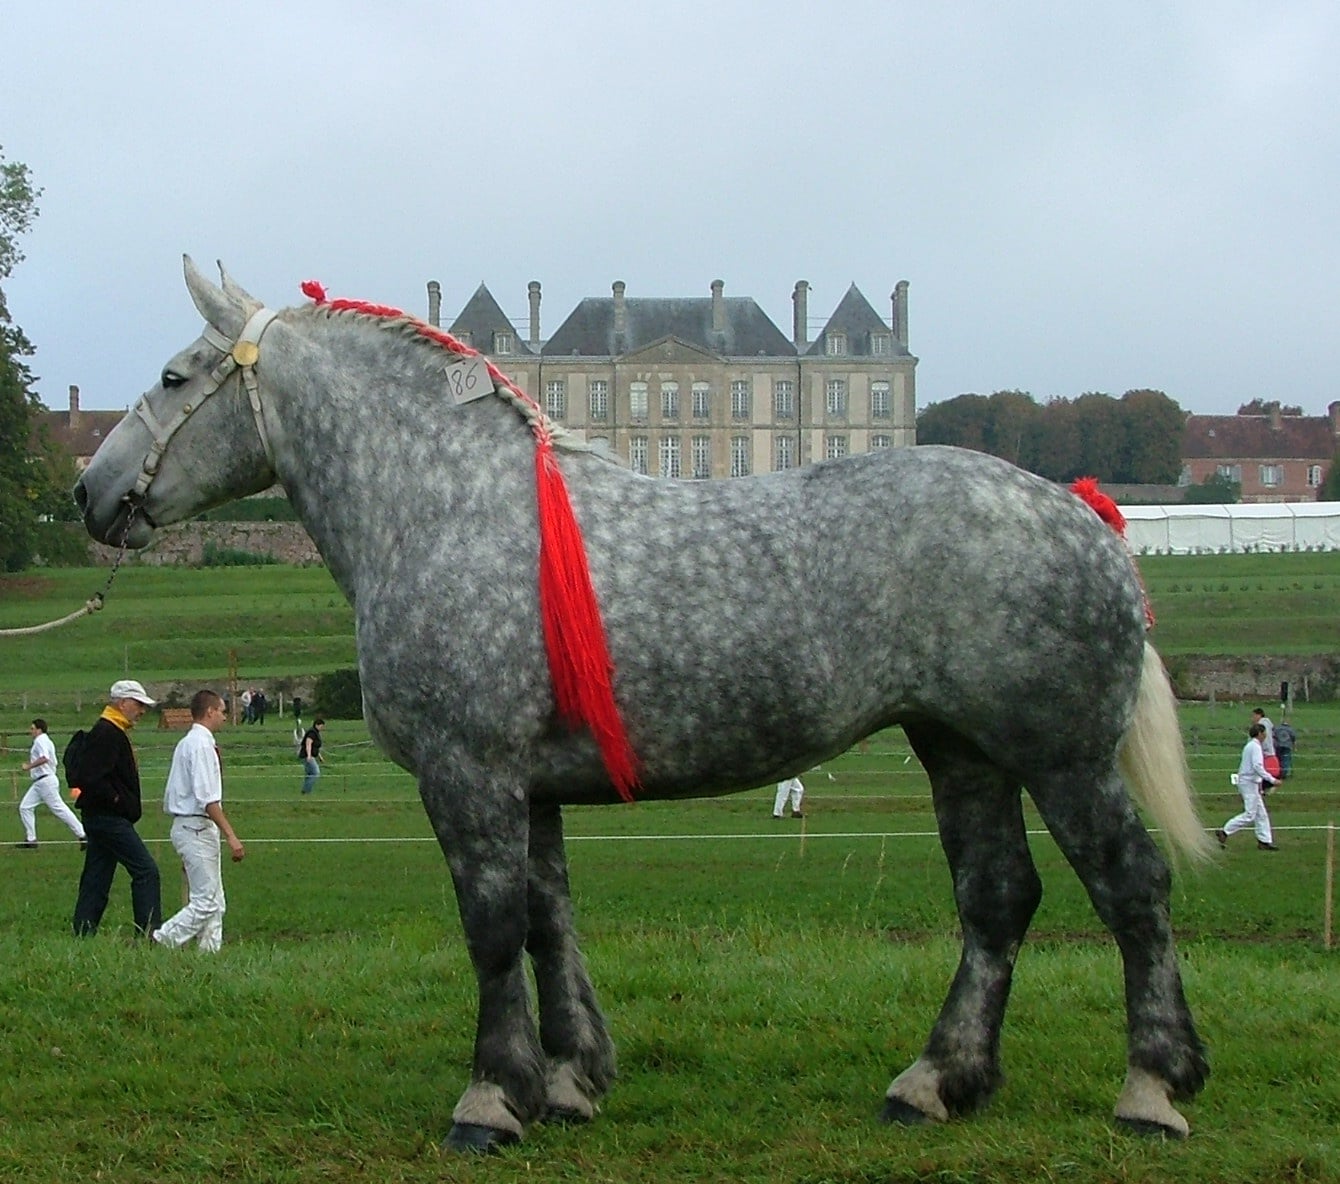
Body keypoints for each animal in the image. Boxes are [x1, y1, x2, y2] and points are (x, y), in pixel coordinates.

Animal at [73, 258, 1216, 1146]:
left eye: (174, 374)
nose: (89, 490)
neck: (449, 507)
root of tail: (1079, 510)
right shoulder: (530, 788)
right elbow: (549, 923)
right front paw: (569, 1081)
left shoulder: (468, 774)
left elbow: (491, 927)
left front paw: (491, 1098)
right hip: (961, 751)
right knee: (996, 899)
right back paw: (935, 1081)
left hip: (1061, 758)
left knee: (1134, 888)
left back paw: (1151, 1086)